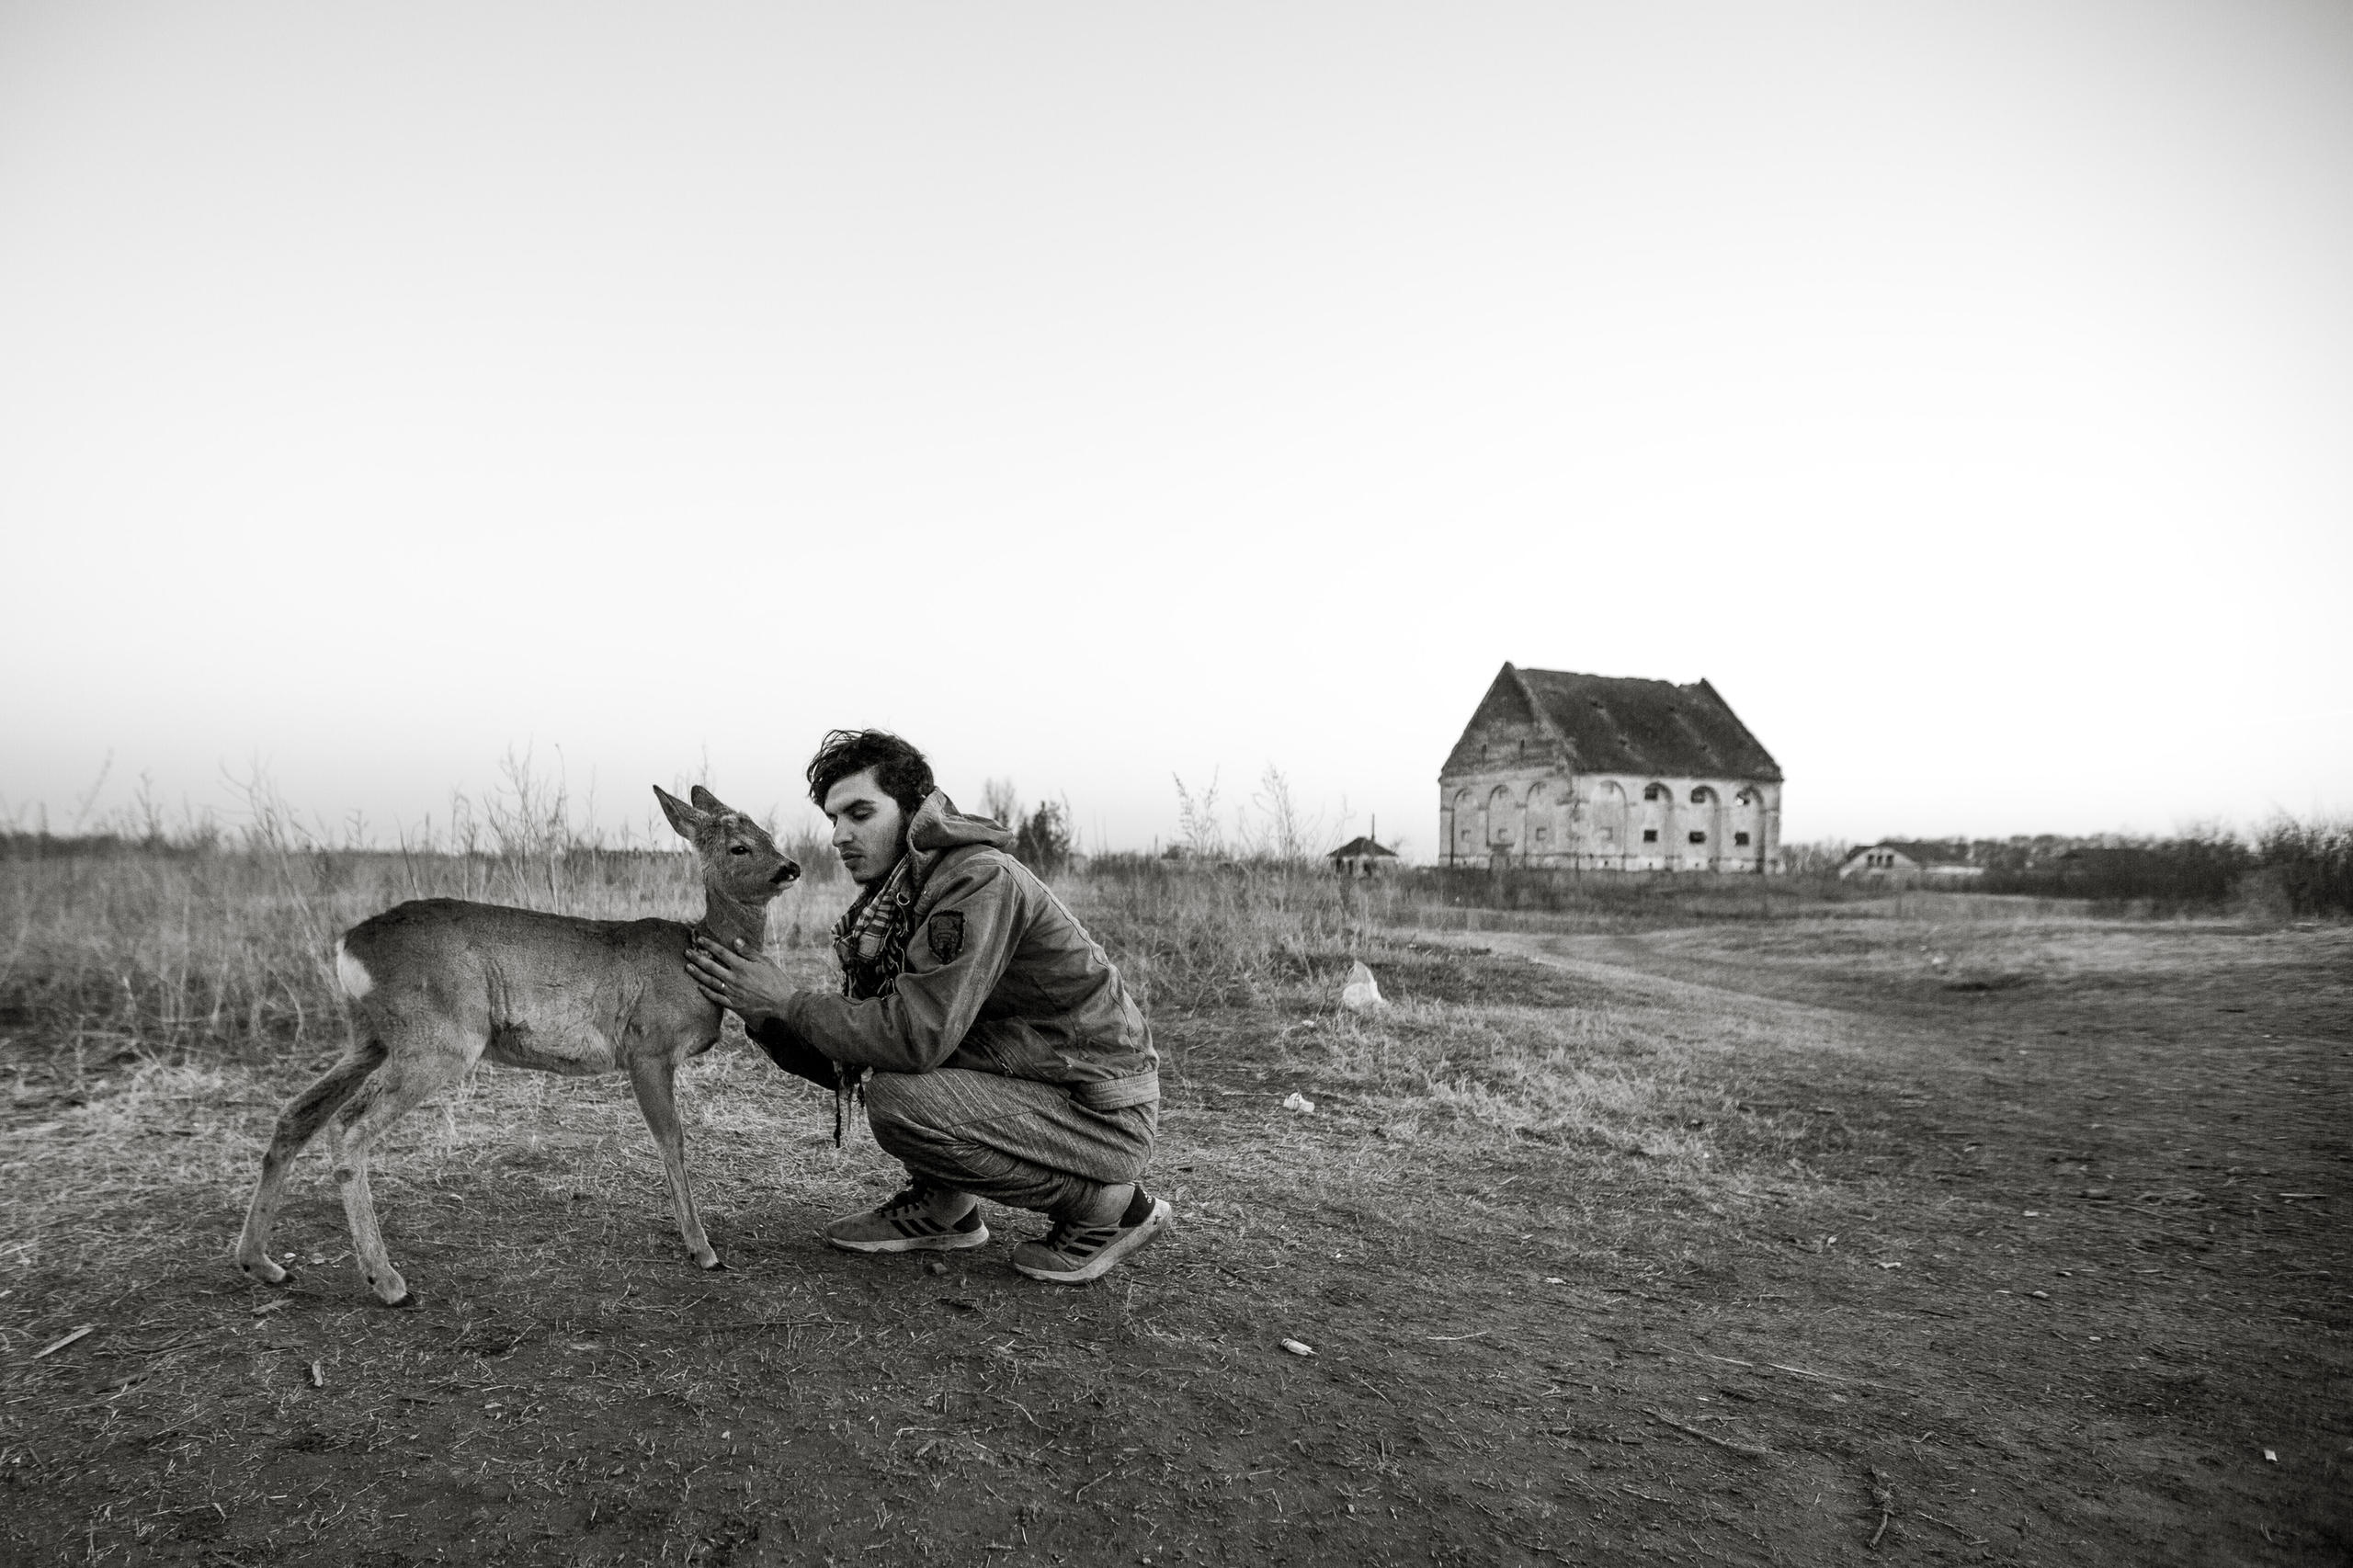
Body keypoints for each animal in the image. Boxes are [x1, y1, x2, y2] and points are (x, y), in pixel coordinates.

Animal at [233, 781, 800, 1309]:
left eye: (769, 835)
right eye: (739, 847)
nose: (790, 868)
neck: (693, 956)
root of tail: (347, 945)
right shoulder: (648, 1048)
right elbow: (672, 1142)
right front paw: (703, 1250)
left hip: (369, 1038)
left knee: (296, 1114)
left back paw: (263, 1264)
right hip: (441, 1038)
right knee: (349, 1126)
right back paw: (388, 1282)